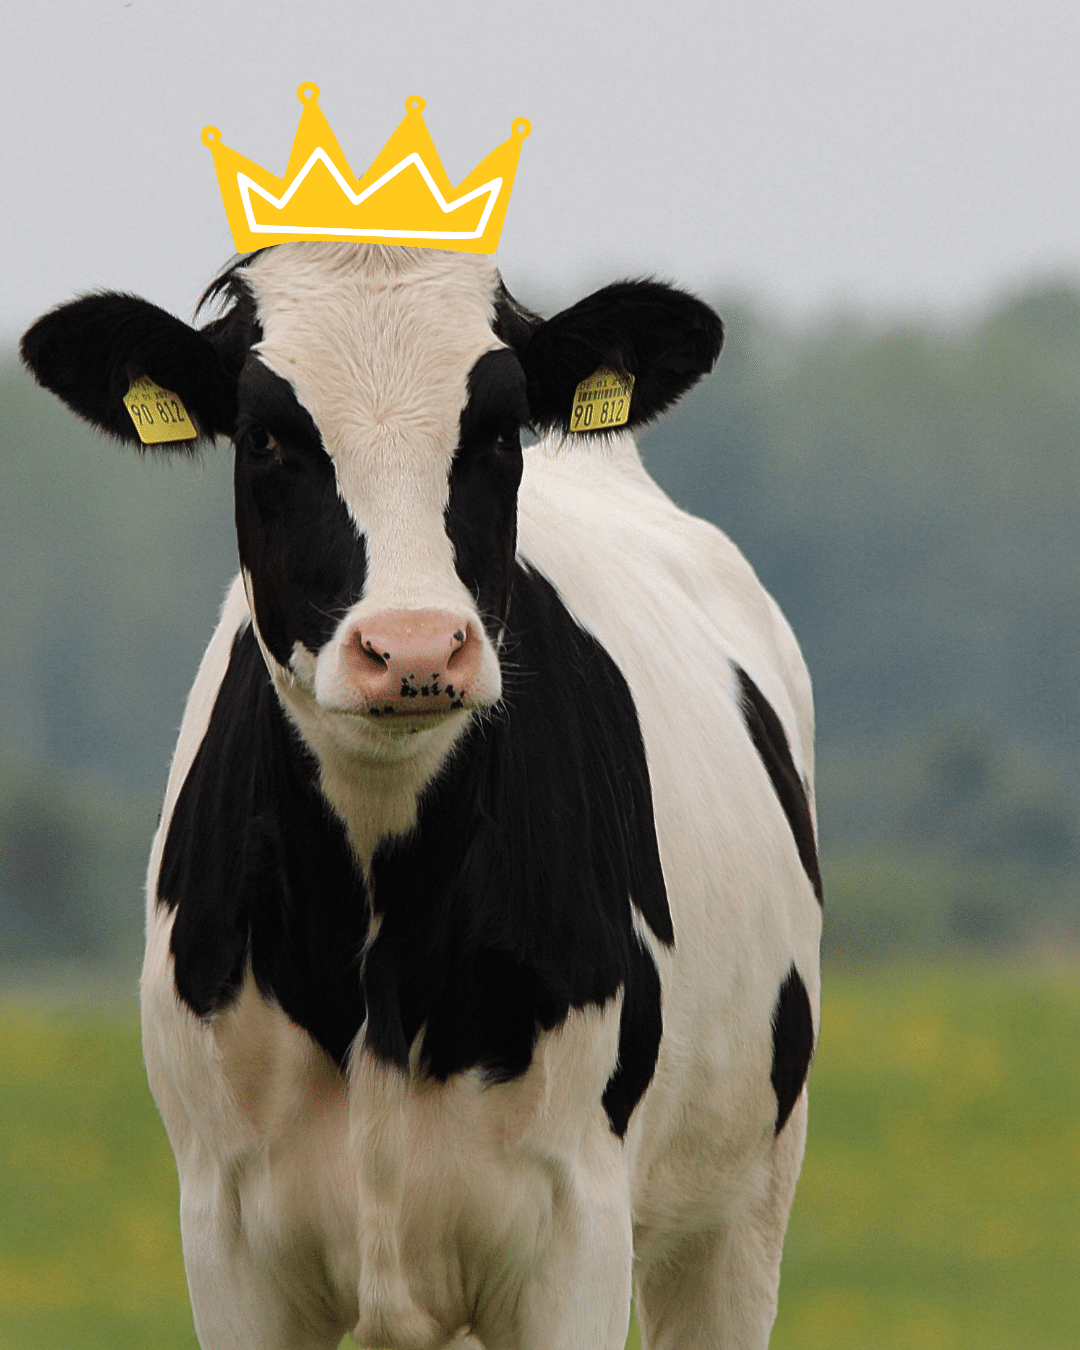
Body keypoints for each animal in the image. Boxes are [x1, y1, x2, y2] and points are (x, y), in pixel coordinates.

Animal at [21, 242, 822, 1350]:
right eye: (266, 436)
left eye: (497, 430)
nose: (412, 649)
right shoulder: (225, 1237)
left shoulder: (577, 1230)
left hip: (741, 1213)